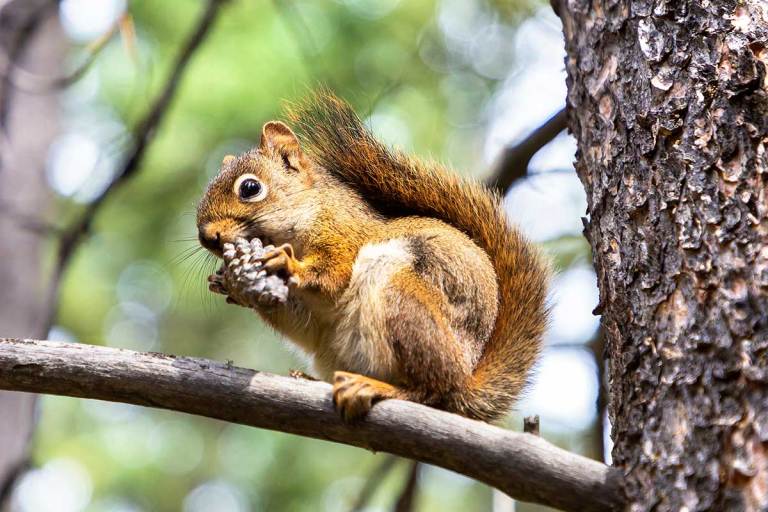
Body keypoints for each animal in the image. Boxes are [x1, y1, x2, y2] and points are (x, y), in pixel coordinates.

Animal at [196, 91, 550, 422]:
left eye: (250, 188)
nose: (206, 236)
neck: (307, 215)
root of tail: (466, 383)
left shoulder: (345, 235)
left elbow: (334, 276)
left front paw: (285, 263)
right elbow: (302, 321)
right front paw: (229, 283)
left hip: (403, 300)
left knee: (434, 391)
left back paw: (377, 388)